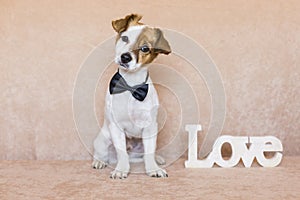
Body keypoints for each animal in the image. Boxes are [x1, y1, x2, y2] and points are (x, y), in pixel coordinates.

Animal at [91, 14, 171, 180]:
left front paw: (153, 168)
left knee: (147, 154)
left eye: (145, 48)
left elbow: (149, 153)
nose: (125, 57)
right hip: (103, 139)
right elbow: (122, 154)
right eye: (125, 38)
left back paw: (157, 159)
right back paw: (99, 161)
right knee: (102, 153)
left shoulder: (150, 127)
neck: (131, 86)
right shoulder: (116, 127)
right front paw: (121, 169)